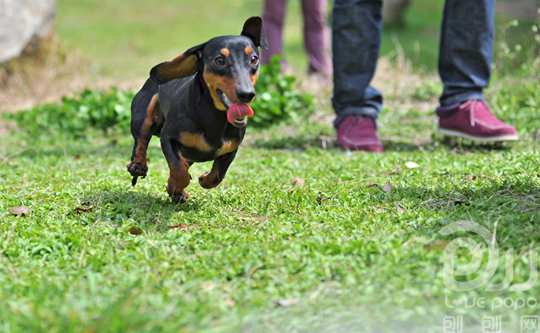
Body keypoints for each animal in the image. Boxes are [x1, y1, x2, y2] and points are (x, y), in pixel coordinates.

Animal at [127, 16, 270, 204]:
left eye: (253, 59)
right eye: (219, 60)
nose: (246, 94)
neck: (214, 118)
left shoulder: (231, 149)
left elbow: (216, 176)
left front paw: (200, 180)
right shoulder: (168, 138)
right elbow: (179, 170)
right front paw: (175, 186)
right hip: (143, 115)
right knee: (141, 141)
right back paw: (138, 164)